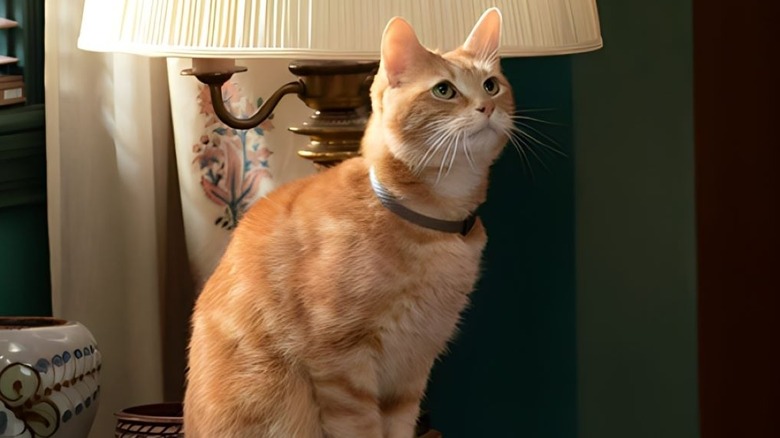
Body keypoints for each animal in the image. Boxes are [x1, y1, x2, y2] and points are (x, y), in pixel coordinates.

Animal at [182, 7, 512, 438]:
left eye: (491, 85)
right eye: (444, 90)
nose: (487, 107)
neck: (431, 224)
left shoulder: (412, 367)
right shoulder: (341, 363)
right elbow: (360, 426)